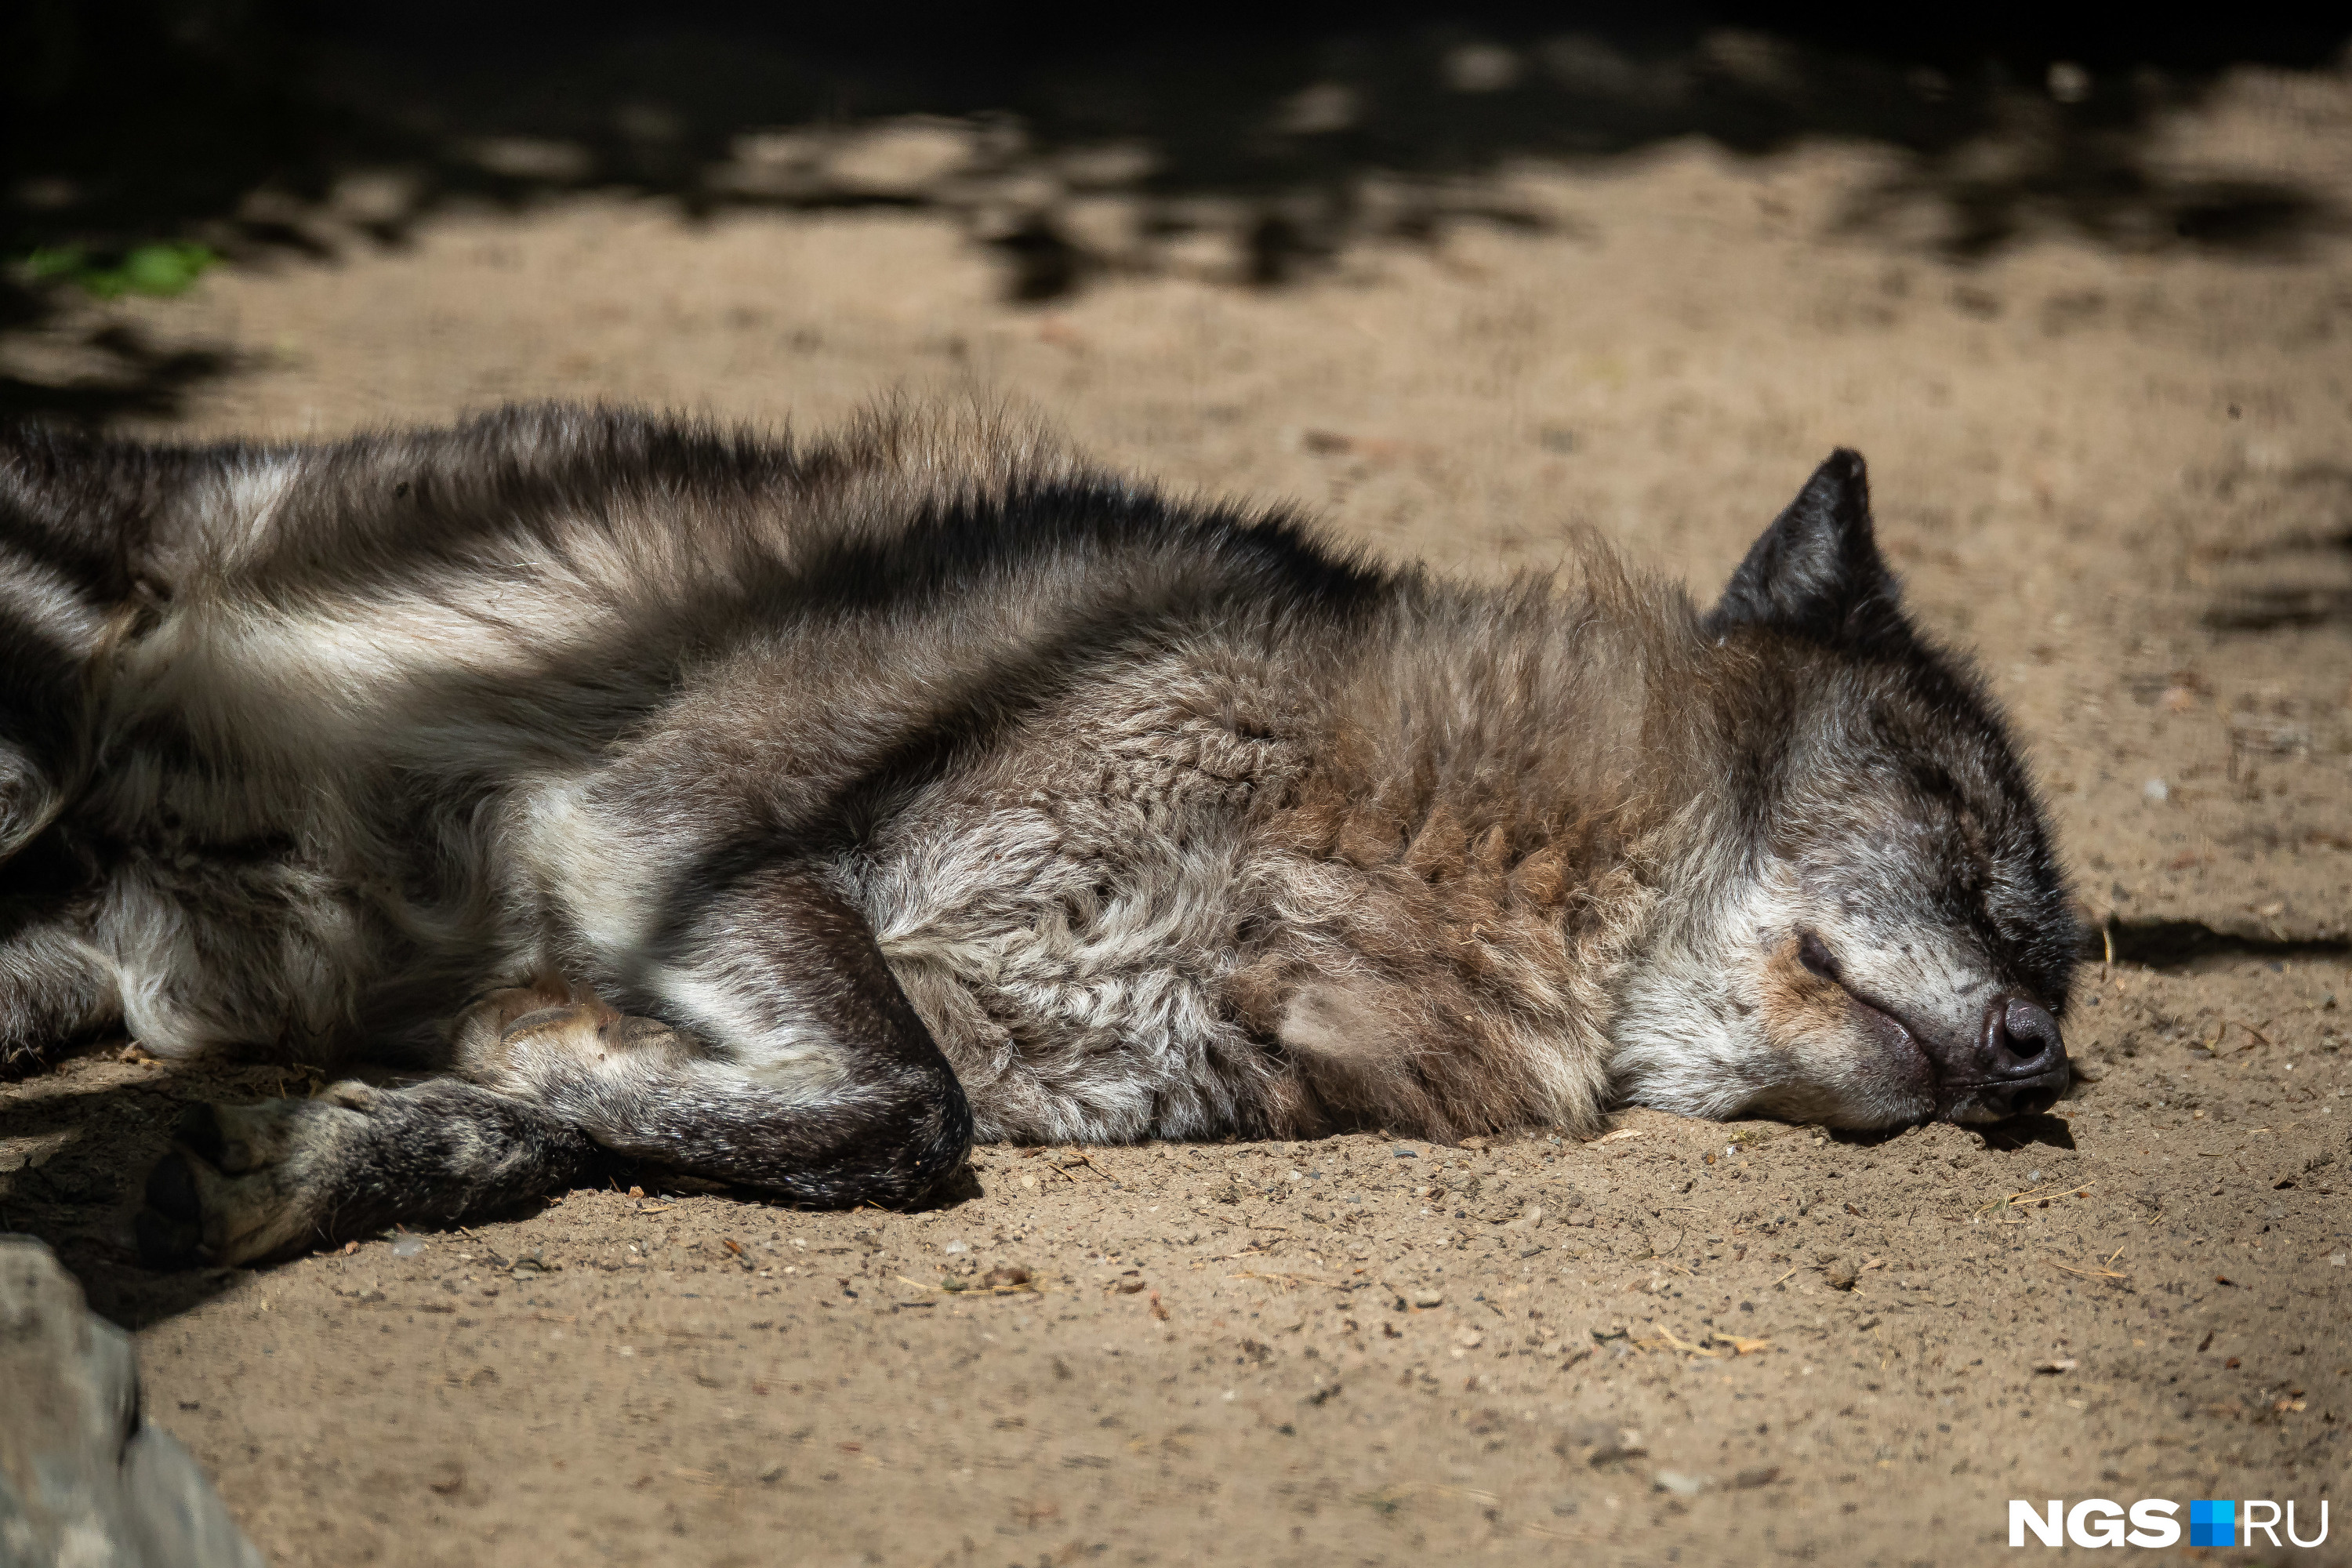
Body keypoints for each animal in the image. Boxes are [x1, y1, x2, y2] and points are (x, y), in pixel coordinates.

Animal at [0, 404, 2079, 1260]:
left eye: (2050, 959)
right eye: (1966, 840)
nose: (2034, 1054)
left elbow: (669, 1115)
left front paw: (356, 1144)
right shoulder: (667, 828)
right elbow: (902, 1111)